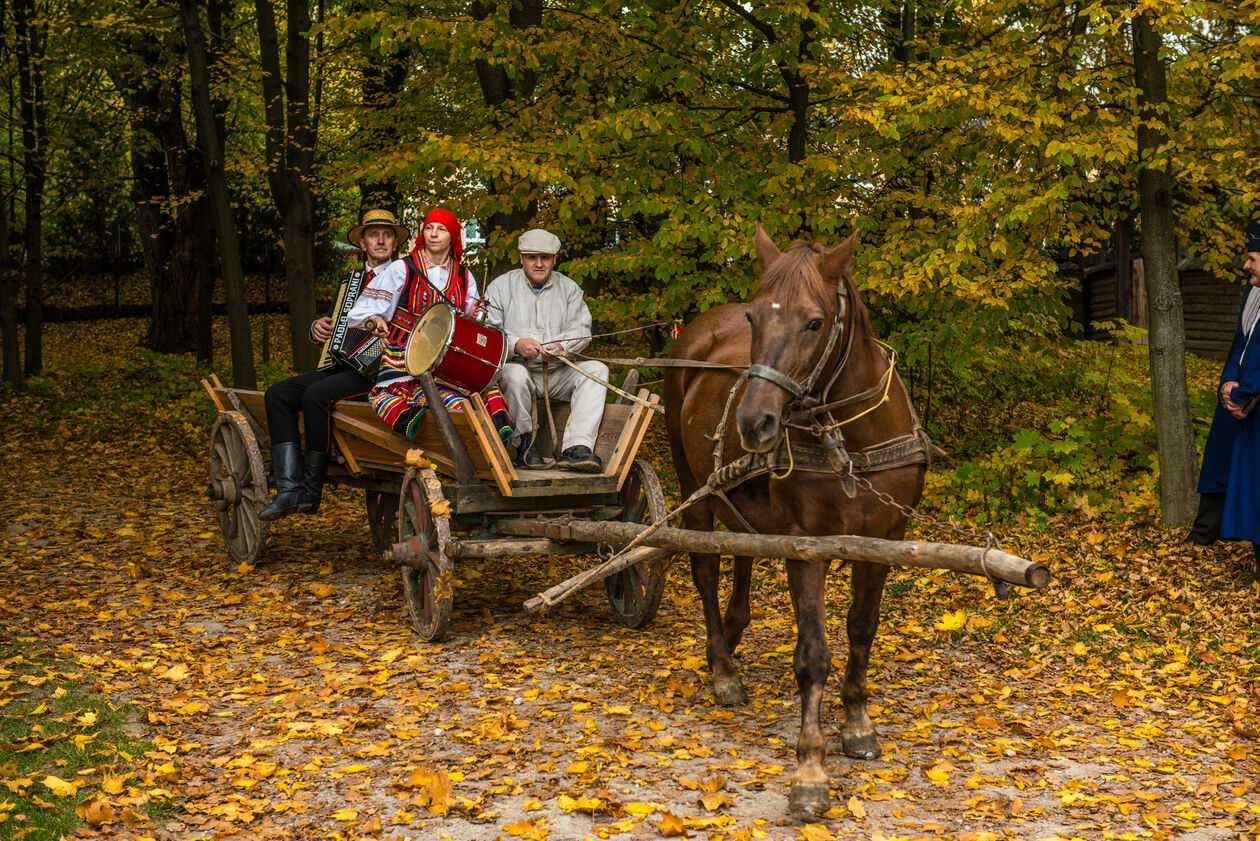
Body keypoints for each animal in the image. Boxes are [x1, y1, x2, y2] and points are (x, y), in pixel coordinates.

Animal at [670, 226, 927, 817]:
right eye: (753, 318)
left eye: (814, 322)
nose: (754, 422)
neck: (850, 444)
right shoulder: (806, 546)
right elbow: (812, 654)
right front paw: (810, 768)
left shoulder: (885, 540)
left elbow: (862, 628)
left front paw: (857, 722)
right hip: (692, 490)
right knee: (705, 571)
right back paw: (723, 668)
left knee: (741, 551)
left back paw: (735, 631)